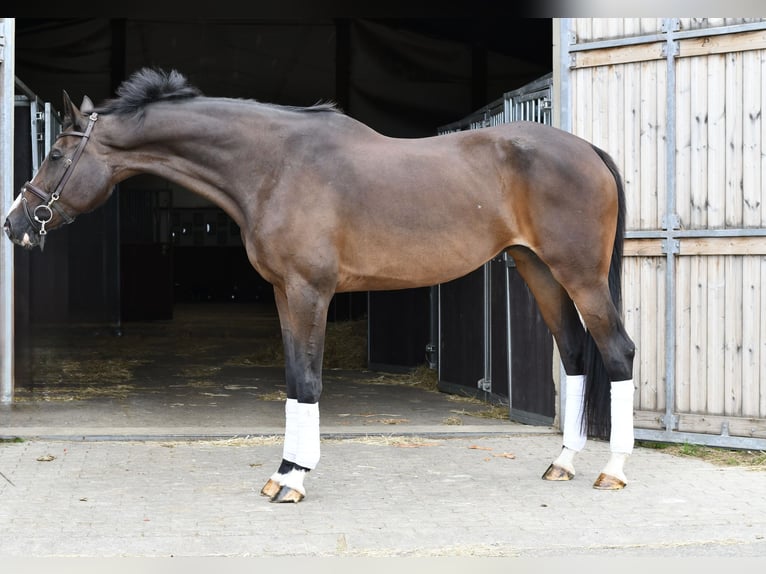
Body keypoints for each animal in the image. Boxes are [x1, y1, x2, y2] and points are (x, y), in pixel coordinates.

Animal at [4, 68, 636, 503]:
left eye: (55, 153)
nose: (14, 224)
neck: (274, 166)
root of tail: (588, 150)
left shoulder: (311, 291)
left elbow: (307, 379)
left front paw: (293, 481)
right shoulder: (285, 292)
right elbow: (292, 379)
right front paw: (285, 471)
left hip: (580, 276)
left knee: (617, 352)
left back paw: (611, 471)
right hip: (538, 270)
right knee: (574, 354)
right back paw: (564, 463)